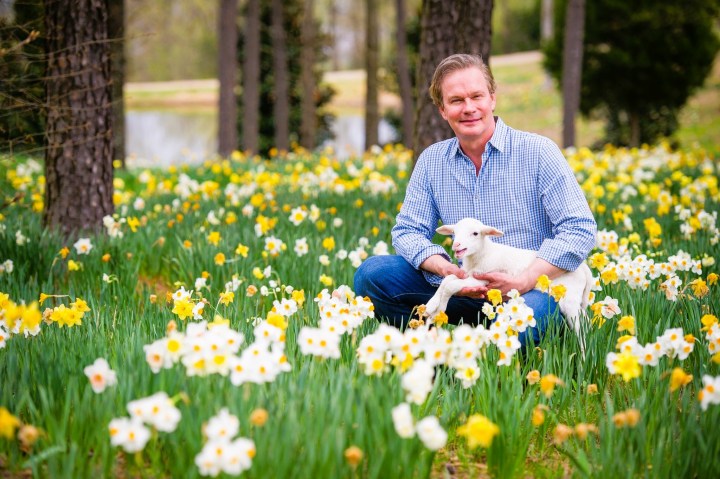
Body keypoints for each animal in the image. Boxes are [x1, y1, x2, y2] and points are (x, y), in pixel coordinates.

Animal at [424, 218, 592, 348]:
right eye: (455, 232)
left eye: (475, 233)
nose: (456, 245)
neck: (482, 254)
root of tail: (583, 268)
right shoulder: (466, 274)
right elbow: (447, 280)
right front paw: (432, 307)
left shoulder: (482, 278)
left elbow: (451, 286)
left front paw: (440, 309)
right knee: (585, 318)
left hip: (569, 300)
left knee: (580, 326)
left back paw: (584, 356)